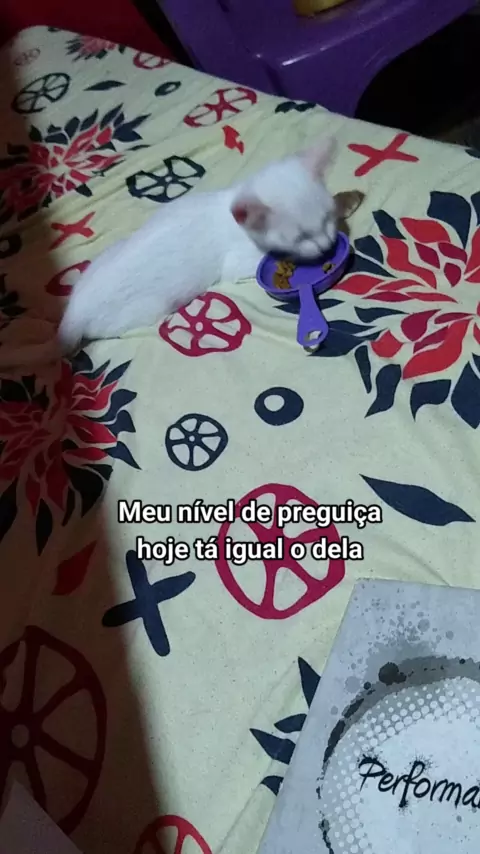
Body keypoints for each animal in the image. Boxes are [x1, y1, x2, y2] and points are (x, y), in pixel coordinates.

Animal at [0, 139, 363, 367]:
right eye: (301, 237)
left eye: (325, 220)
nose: (326, 246)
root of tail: (71, 315)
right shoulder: (236, 261)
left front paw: (346, 203)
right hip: (144, 309)